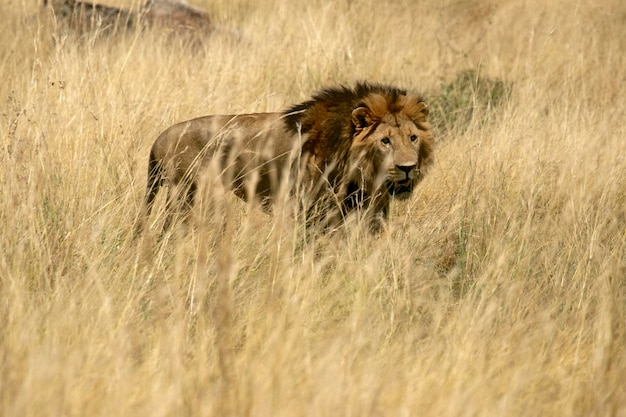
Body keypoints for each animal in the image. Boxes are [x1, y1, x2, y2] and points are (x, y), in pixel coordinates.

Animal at [134, 81, 432, 234]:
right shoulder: (310, 207)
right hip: (187, 194)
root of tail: (159, 139)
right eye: (385, 141)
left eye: (412, 138)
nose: (408, 168)